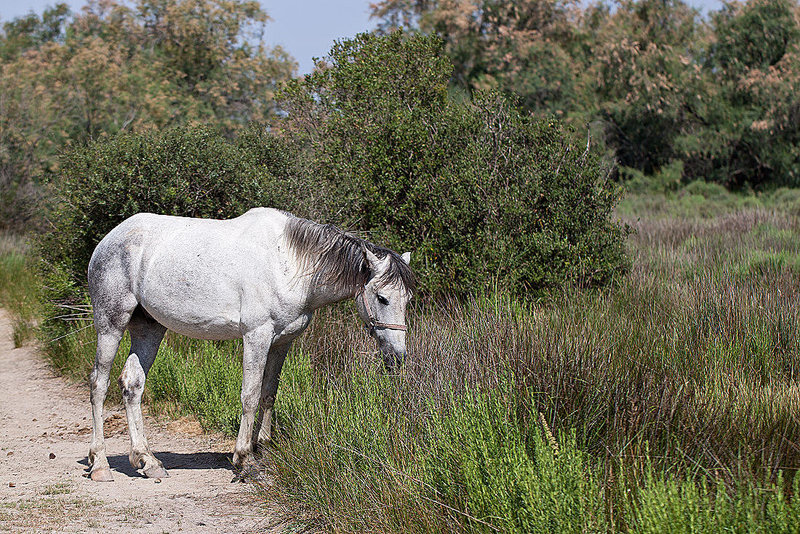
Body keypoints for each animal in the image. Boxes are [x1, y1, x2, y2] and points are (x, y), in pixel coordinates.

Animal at [86, 207, 412, 484]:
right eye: (382, 298)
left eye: (407, 299)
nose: (397, 357)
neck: (289, 263)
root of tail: (108, 240)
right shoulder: (257, 336)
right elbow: (250, 396)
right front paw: (244, 460)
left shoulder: (282, 342)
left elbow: (269, 394)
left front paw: (263, 449)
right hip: (111, 323)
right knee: (99, 384)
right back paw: (100, 464)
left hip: (149, 328)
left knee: (133, 385)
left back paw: (147, 461)